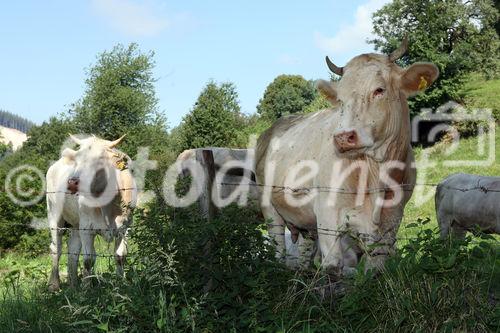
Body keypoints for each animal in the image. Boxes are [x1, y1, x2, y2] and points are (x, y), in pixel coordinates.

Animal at [46, 134, 136, 290]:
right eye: (77, 160)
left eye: (99, 160)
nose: (72, 182)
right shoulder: (86, 227)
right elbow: (88, 259)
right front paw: (87, 287)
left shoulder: (125, 226)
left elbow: (120, 256)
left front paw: (121, 282)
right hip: (54, 214)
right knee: (56, 248)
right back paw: (54, 285)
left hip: (76, 223)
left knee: (73, 250)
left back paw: (73, 284)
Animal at [256, 38, 440, 272]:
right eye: (340, 100)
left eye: (379, 90)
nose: (343, 137)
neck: (375, 173)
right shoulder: (327, 215)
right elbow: (333, 266)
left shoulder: (392, 219)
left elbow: (375, 267)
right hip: (270, 209)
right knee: (278, 247)